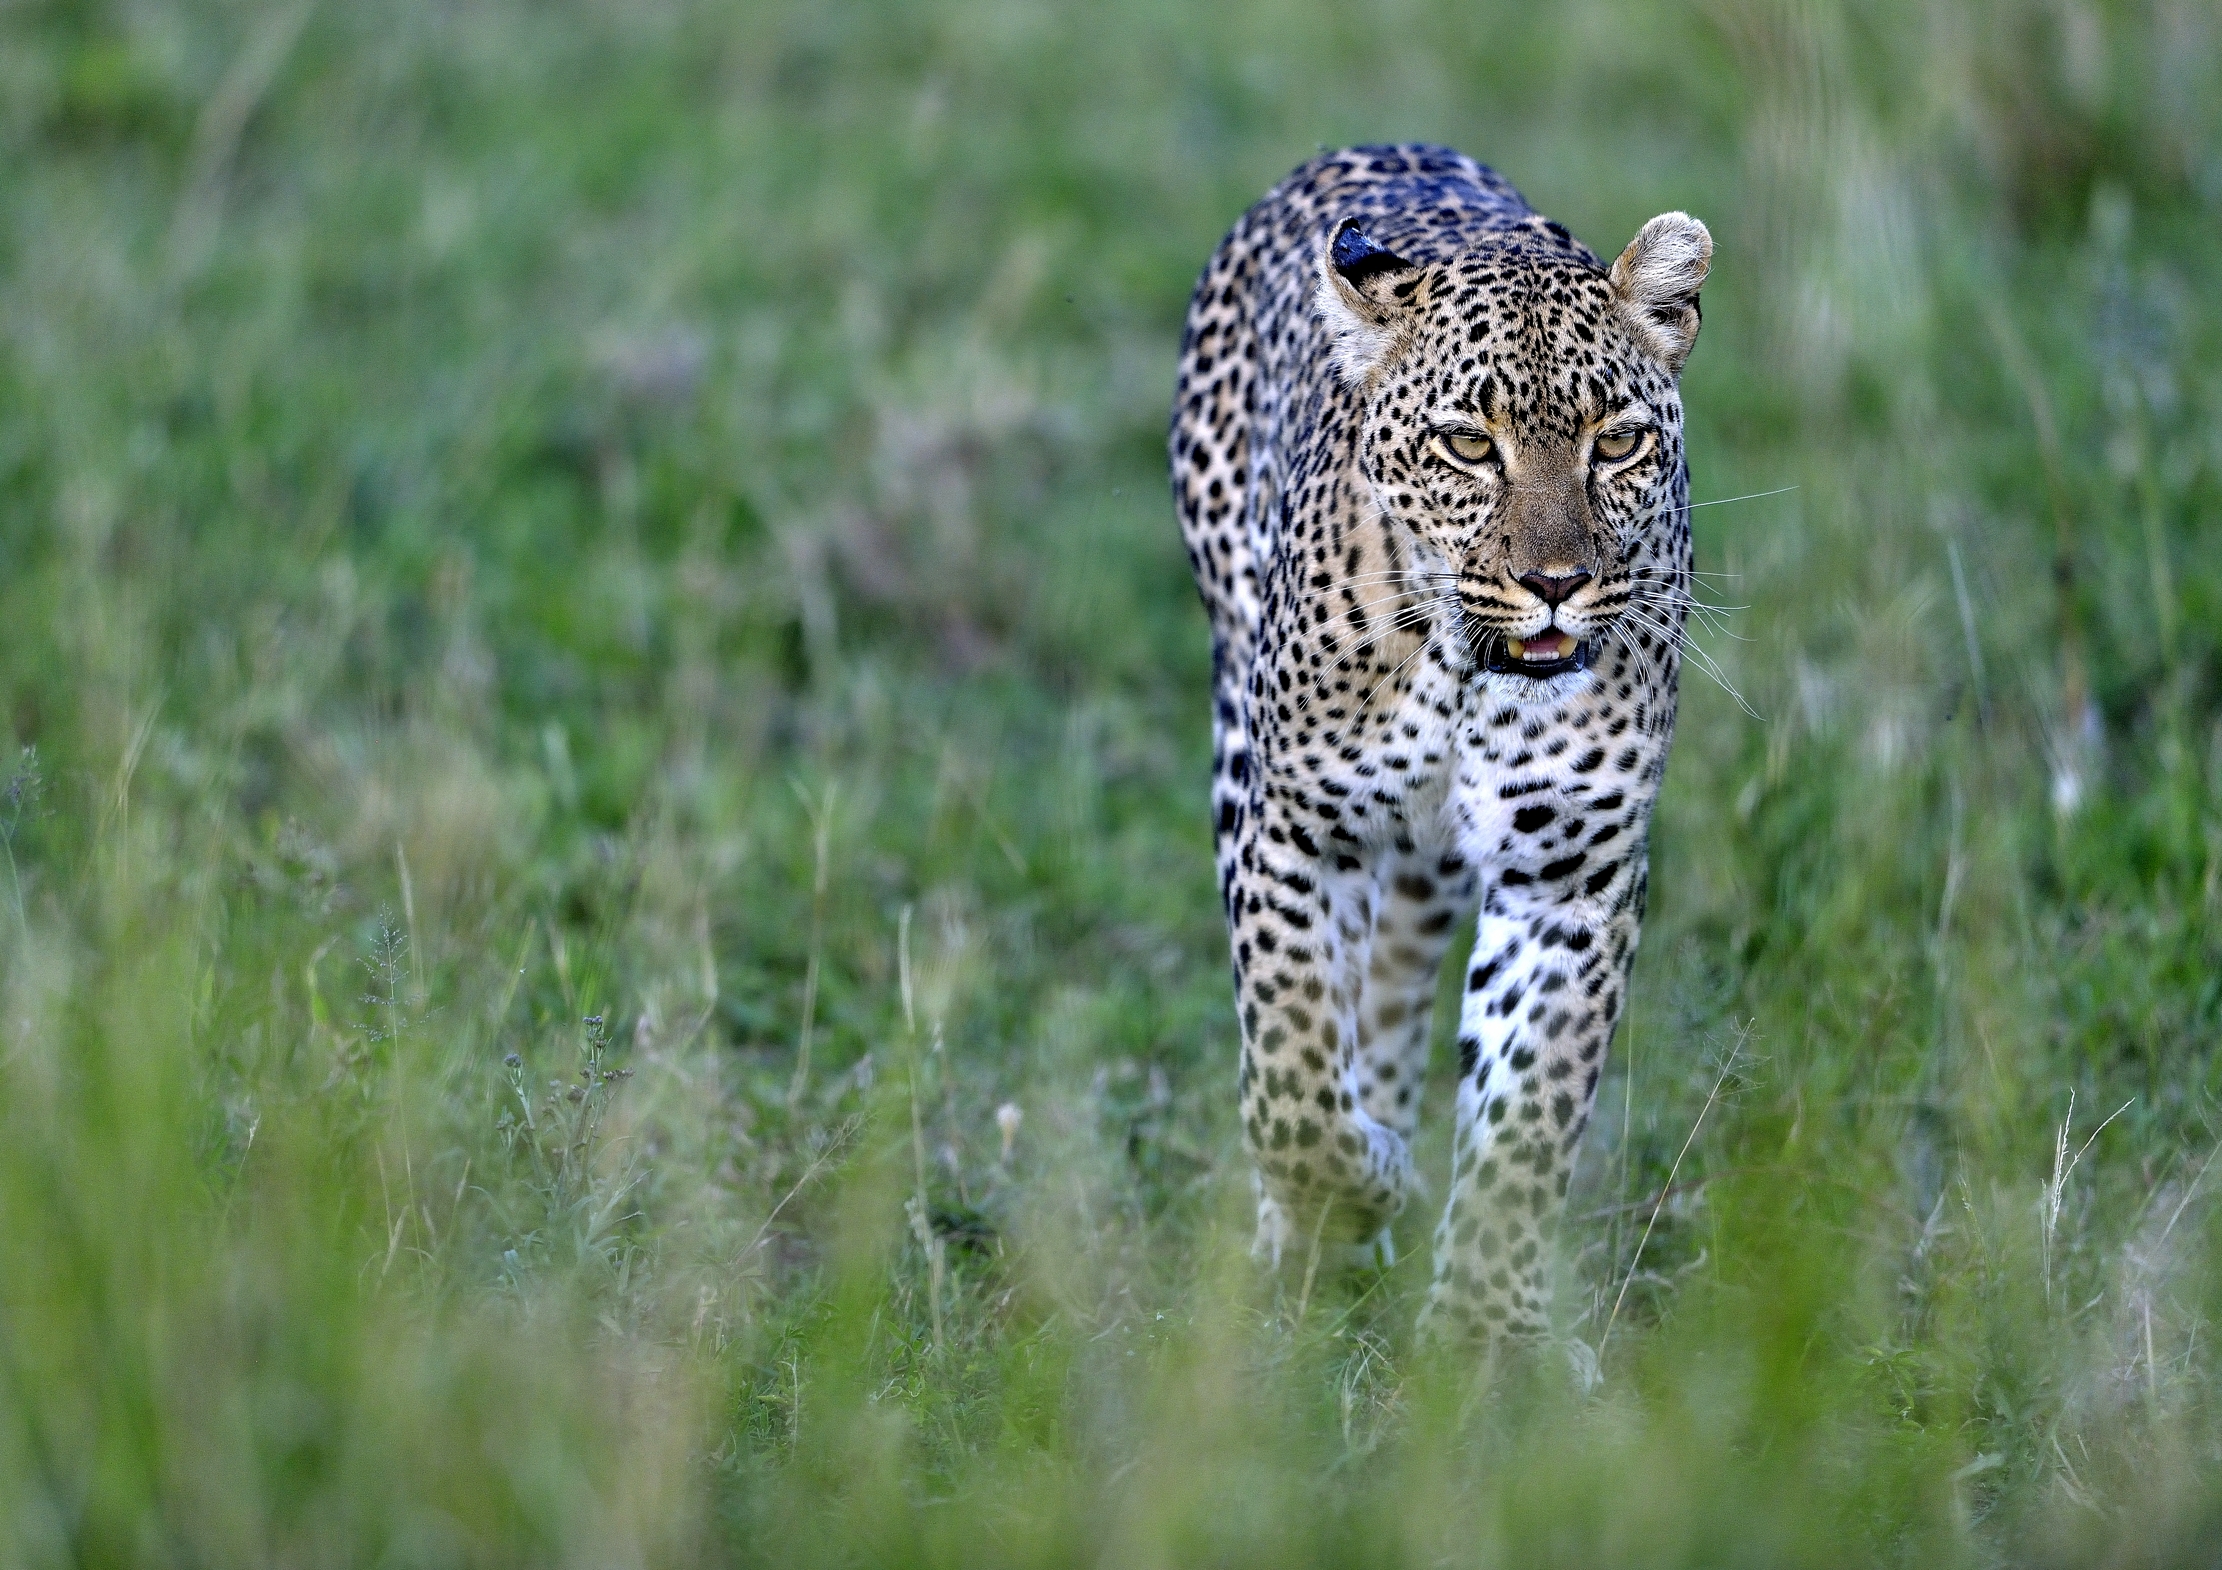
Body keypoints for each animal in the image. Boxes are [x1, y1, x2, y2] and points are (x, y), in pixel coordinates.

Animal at [1169, 144, 1710, 1342]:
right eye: (1469, 444)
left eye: (1616, 442)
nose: (1555, 583)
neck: (1465, 676)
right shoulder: (1298, 831)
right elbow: (1287, 1066)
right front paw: (1352, 1183)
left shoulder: (1571, 876)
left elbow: (1529, 1113)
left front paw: (1486, 1334)